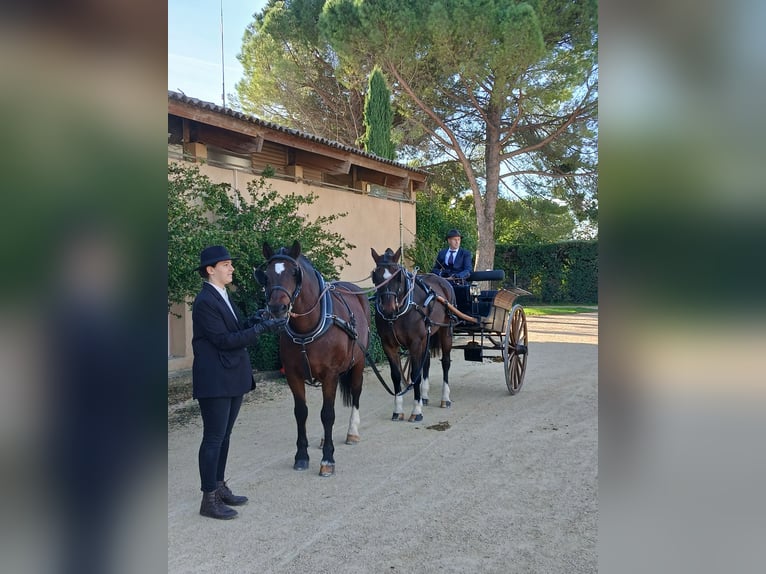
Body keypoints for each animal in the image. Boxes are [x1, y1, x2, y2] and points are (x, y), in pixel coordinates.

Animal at [258, 242, 372, 476]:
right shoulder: (293, 376)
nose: (277, 308)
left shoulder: (330, 376)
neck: (308, 329)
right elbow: (301, 413)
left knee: (356, 393)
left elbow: (328, 414)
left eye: (295, 273)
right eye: (266, 275)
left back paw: (352, 432)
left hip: (358, 363)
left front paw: (328, 459)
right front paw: (301, 456)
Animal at [372, 248, 456, 424]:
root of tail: (444, 281)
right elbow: (396, 376)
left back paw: (445, 398)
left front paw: (416, 411)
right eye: (375, 276)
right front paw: (398, 410)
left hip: (445, 332)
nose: (388, 309)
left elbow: (414, 375)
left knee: (445, 362)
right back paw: (424, 396)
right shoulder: (388, 345)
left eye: (398, 276)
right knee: (427, 362)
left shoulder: (415, 343)